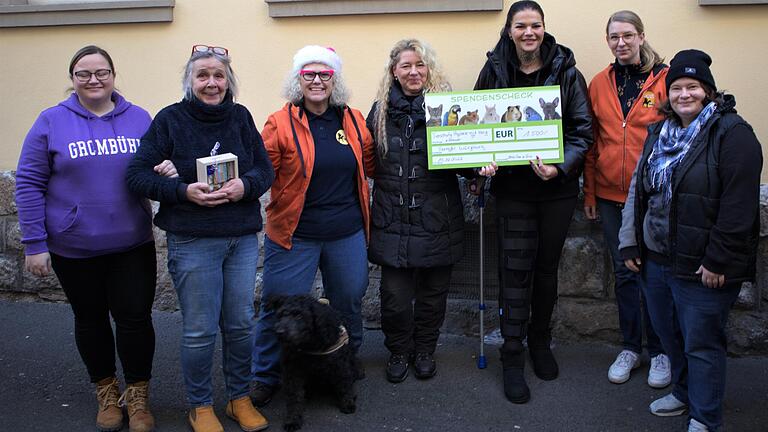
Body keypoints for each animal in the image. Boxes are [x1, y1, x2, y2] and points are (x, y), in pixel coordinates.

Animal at [266, 296, 358, 430]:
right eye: (281, 315)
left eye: (299, 315)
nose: (280, 331)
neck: (309, 344)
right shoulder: (293, 371)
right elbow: (294, 396)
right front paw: (292, 419)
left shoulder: (340, 364)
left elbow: (344, 384)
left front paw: (347, 402)